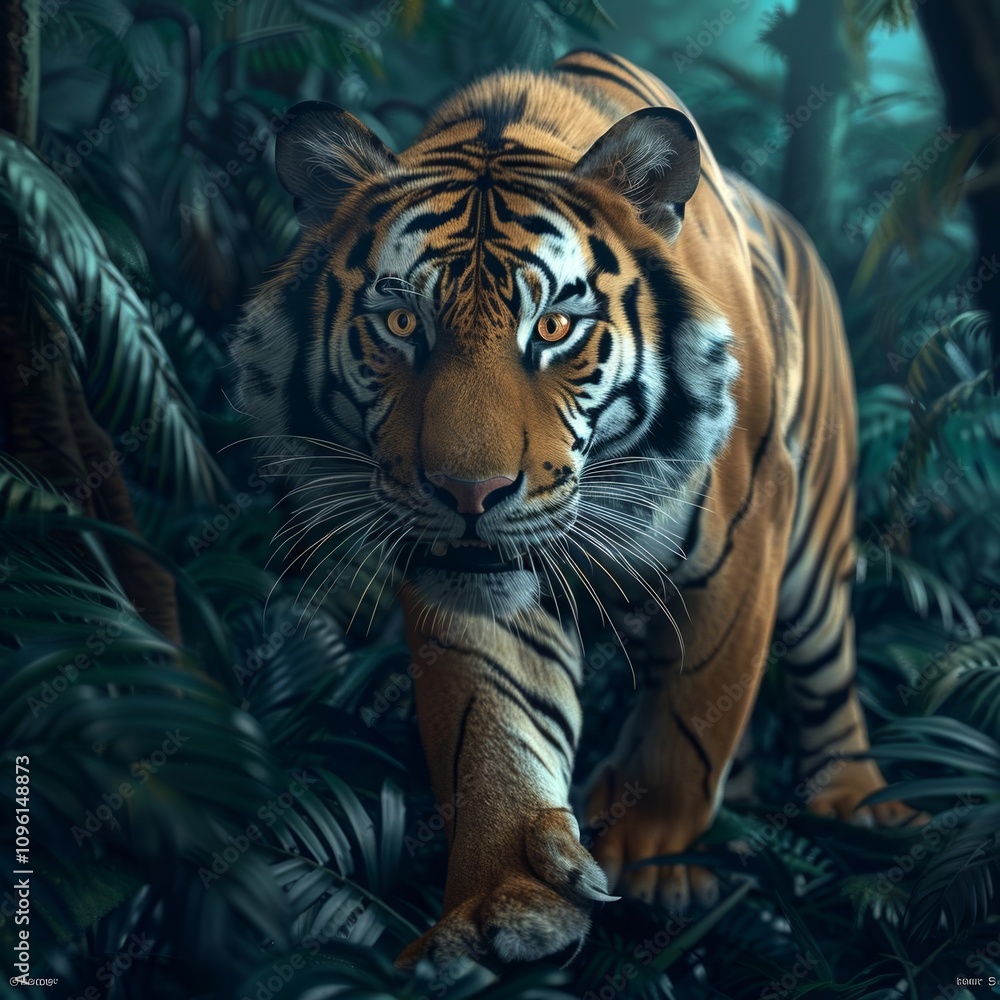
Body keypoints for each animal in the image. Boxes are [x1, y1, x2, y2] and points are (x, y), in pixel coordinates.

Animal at [232, 49, 915, 967]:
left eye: (554, 328)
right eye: (402, 323)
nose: (469, 493)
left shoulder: (743, 551)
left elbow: (692, 721)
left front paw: (652, 861)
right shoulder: (471, 584)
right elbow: (490, 725)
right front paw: (501, 902)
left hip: (817, 547)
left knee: (829, 676)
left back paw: (856, 806)